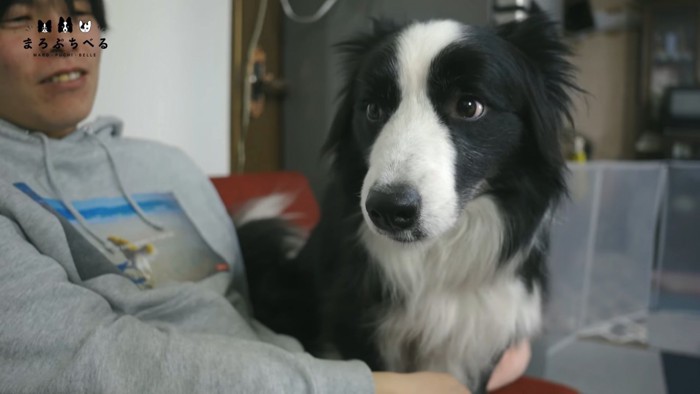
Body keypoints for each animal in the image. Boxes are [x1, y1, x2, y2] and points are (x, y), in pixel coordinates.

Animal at [238, 12, 576, 394]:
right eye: (373, 109)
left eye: (469, 106)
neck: (437, 255)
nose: (389, 209)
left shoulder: (482, 336)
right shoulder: (357, 323)